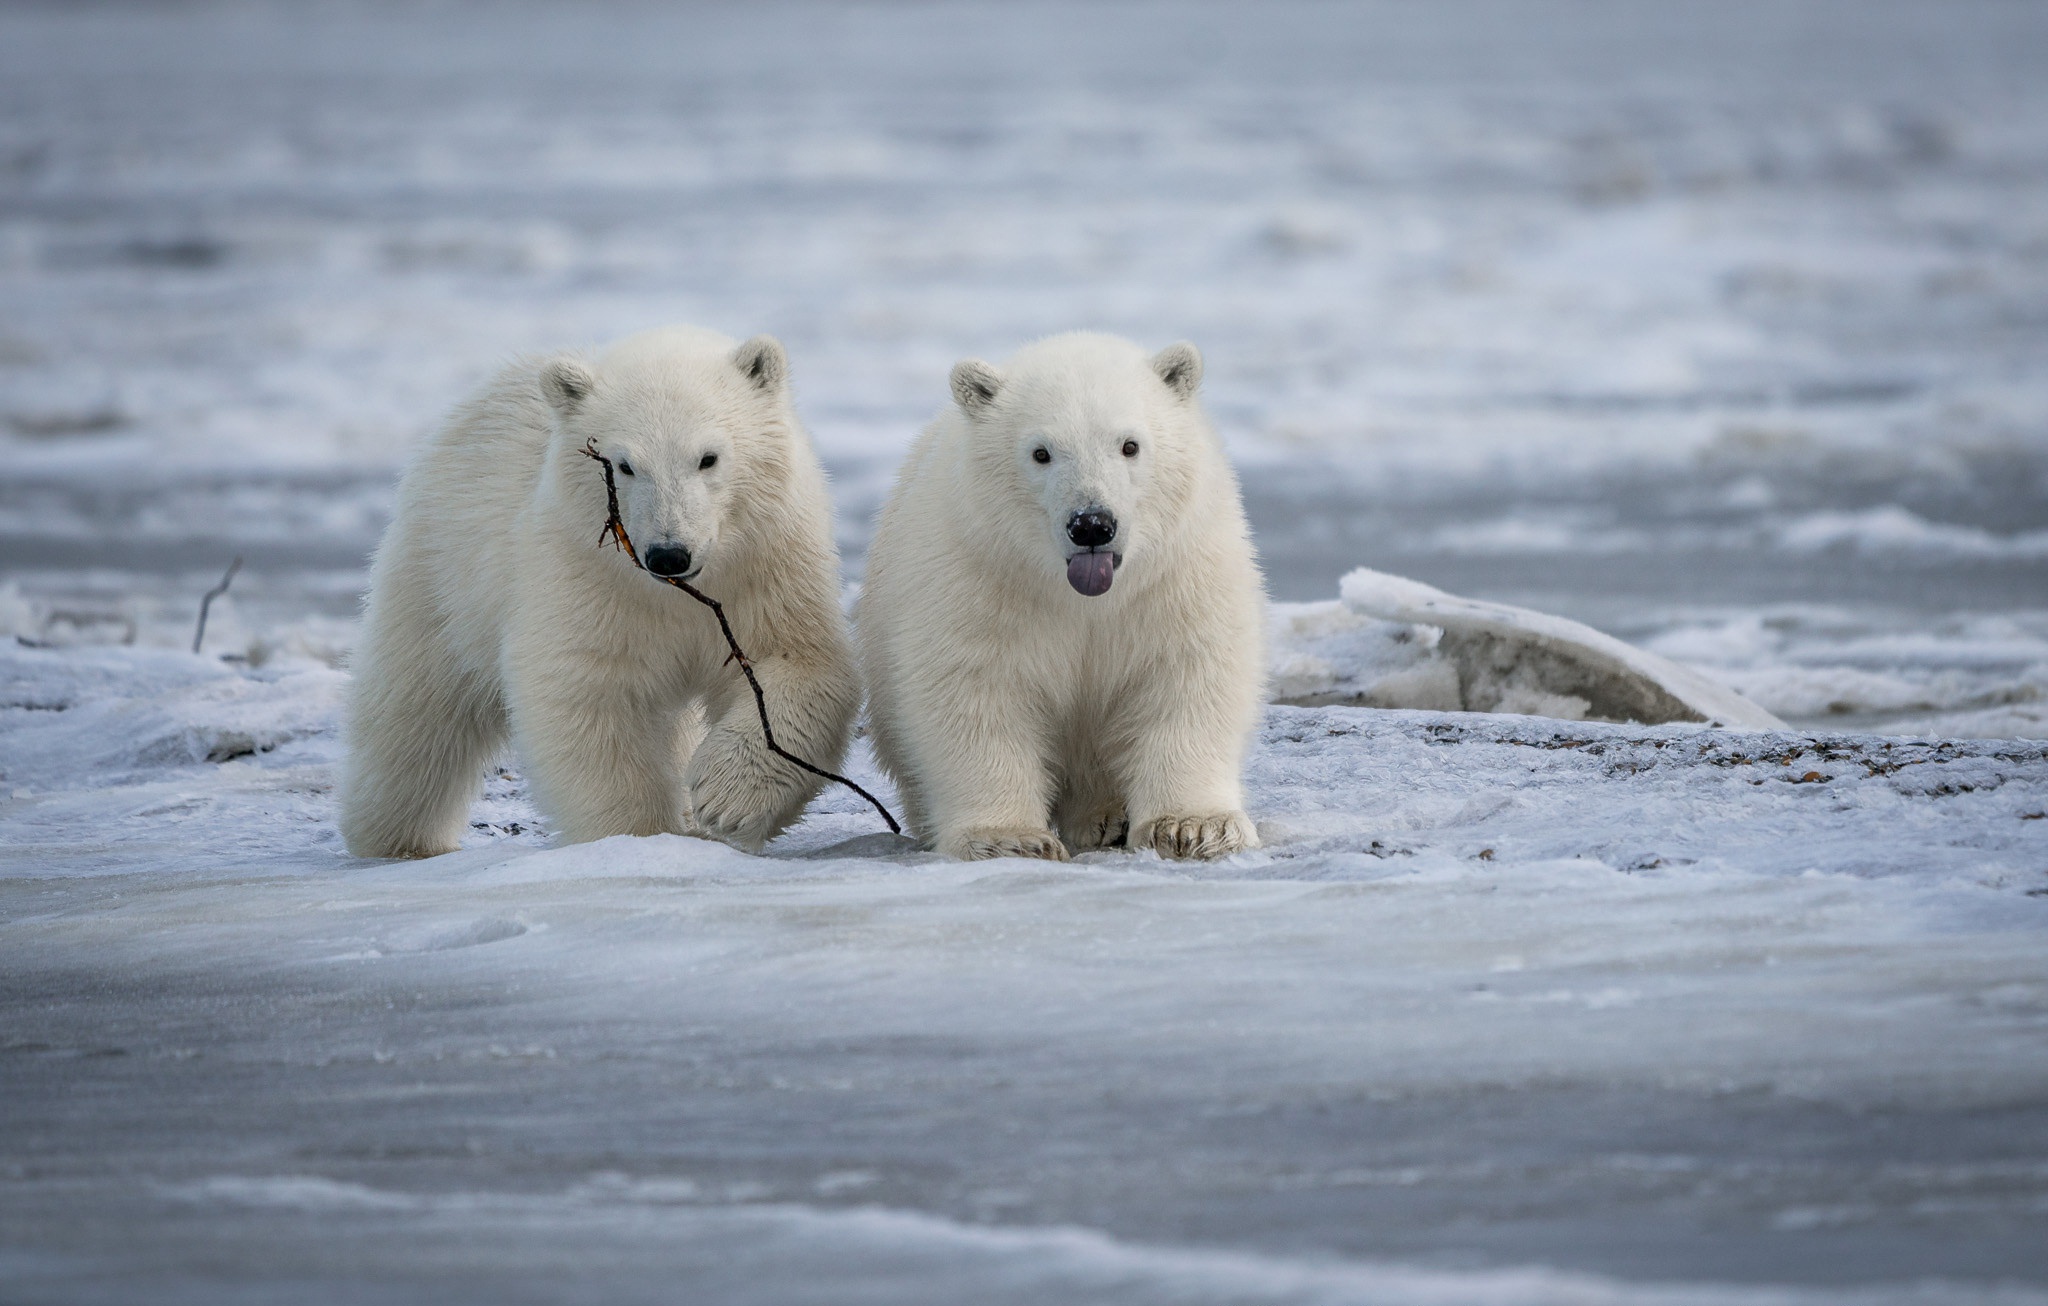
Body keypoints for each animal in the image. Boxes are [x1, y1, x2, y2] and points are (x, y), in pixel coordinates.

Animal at [344, 325, 856, 859]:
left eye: (708, 458)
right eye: (625, 465)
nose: (668, 555)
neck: (675, 593)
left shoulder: (766, 568)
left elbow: (796, 660)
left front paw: (725, 800)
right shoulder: (586, 579)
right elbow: (589, 692)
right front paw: (638, 837)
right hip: (444, 568)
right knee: (417, 705)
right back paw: (398, 837)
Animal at [847, 331, 1261, 863]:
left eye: (1129, 445)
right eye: (1041, 453)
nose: (1092, 524)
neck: (1082, 595)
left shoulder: (1176, 578)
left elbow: (1185, 674)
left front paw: (1194, 826)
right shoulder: (981, 575)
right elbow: (976, 689)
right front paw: (1008, 837)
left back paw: (1106, 817)